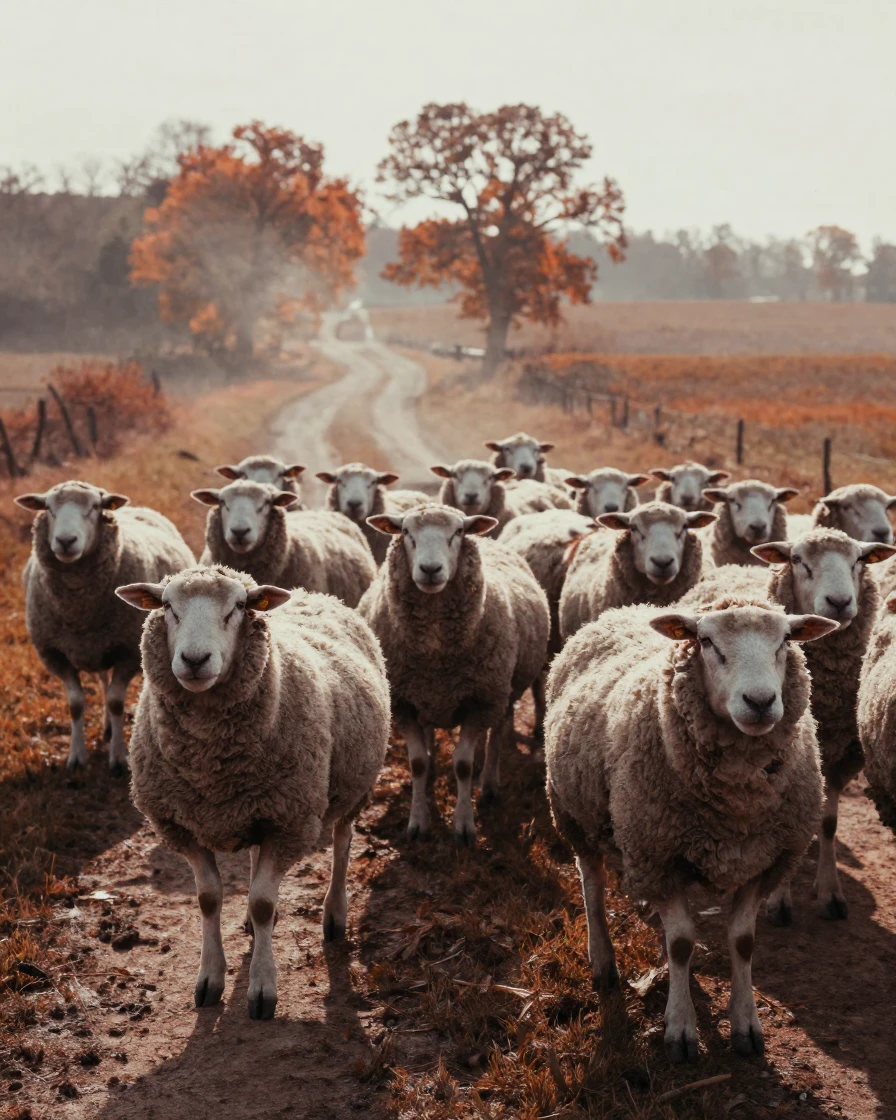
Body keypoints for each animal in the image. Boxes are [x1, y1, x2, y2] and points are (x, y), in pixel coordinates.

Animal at [15, 481, 195, 776]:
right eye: (49, 508)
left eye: (94, 507)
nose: (65, 541)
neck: (78, 610)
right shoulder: (55, 655)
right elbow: (76, 705)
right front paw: (76, 756)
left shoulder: (127, 652)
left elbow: (116, 702)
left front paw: (119, 757)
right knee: (102, 679)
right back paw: (108, 727)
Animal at [115, 565, 389, 1019]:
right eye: (167, 606)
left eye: (238, 607)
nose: (194, 660)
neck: (211, 765)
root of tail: (313, 593)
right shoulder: (181, 823)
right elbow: (208, 898)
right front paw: (209, 979)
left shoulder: (290, 819)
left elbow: (264, 901)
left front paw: (262, 988)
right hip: (259, 802)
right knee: (257, 855)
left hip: (352, 785)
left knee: (342, 844)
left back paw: (334, 914)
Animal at [359, 504, 550, 845]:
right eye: (405, 532)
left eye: (458, 532)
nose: (430, 569)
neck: (436, 655)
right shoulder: (404, 701)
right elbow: (417, 763)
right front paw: (418, 822)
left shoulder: (480, 701)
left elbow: (463, 765)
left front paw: (464, 826)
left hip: (503, 692)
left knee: (497, 733)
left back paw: (488, 784)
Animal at [545, 598, 836, 1060]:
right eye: (706, 641)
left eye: (785, 640)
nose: (760, 701)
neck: (738, 803)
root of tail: (627, 608)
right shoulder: (658, 855)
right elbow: (681, 943)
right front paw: (680, 1027)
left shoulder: (764, 860)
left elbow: (743, 941)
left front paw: (745, 1024)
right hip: (574, 811)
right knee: (592, 885)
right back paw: (603, 962)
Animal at [680, 529, 896, 923]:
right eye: (797, 560)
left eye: (858, 560)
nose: (840, 602)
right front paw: (779, 899)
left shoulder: (835, 756)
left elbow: (828, 823)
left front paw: (829, 892)